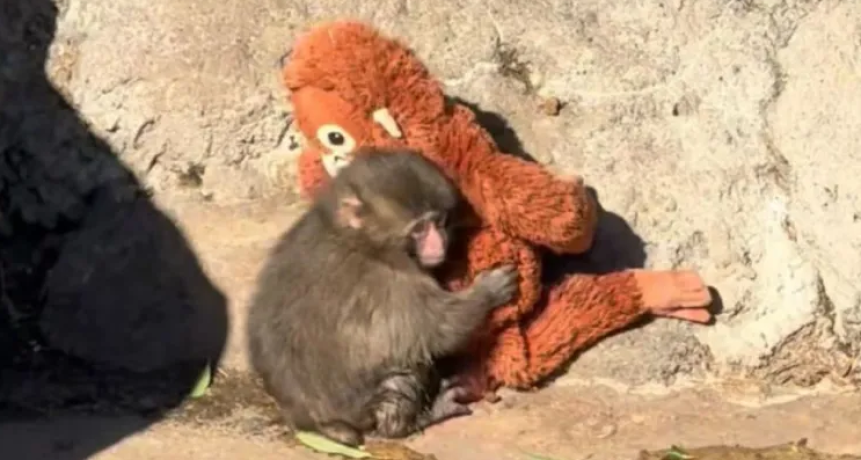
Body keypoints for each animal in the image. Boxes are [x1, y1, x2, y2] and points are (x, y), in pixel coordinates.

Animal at [246, 147, 518, 446]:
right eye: (419, 229)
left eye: (438, 222)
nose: (440, 245)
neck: (358, 238)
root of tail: (310, 420)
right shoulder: (392, 282)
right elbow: (440, 329)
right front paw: (490, 290)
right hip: (364, 407)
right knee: (405, 369)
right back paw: (411, 421)